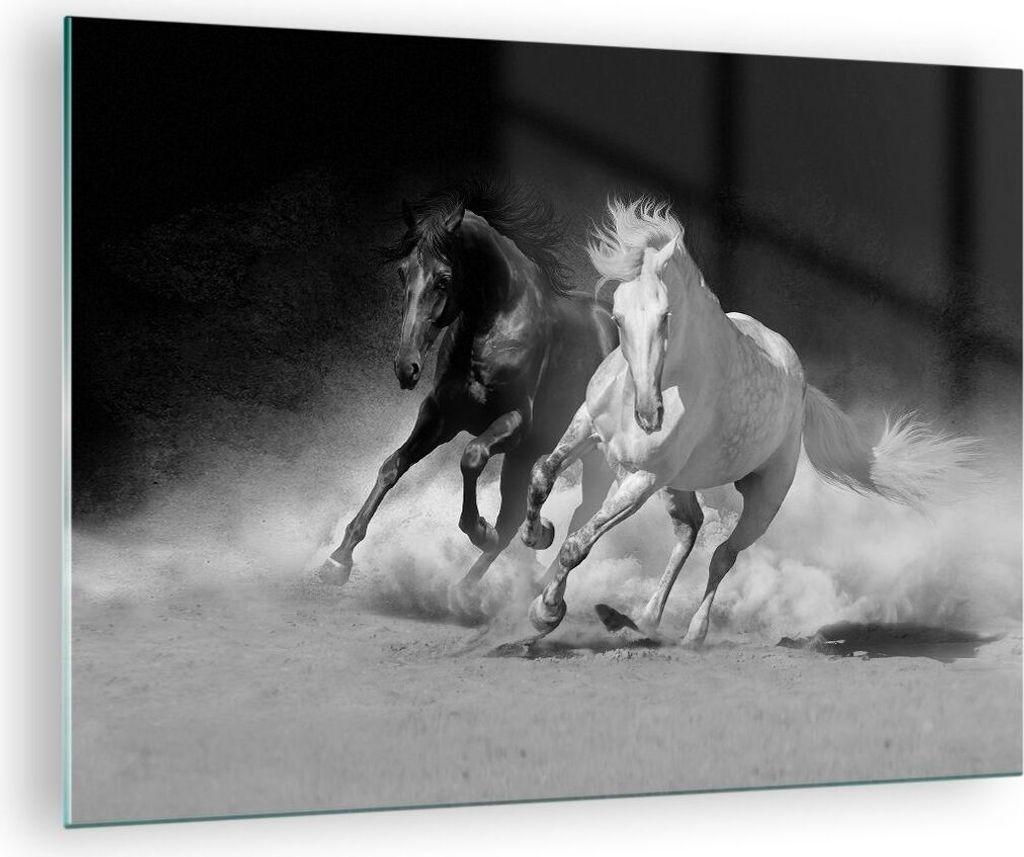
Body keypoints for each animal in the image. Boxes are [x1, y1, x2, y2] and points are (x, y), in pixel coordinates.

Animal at [319, 181, 617, 593]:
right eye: (402, 273)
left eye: (444, 279)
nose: (406, 368)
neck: (495, 323)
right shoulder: (440, 416)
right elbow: (392, 466)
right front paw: (338, 558)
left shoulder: (515, 422)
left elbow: (471, 457)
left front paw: (479, 529)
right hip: (525, 455)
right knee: (516, 516)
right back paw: (472, 587)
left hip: (590, 455)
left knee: (581, 512)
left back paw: (529, 579)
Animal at [518, 197, 981, 648]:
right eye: (618, 317)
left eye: (666, 316)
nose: (649, 415)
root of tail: (801, 387)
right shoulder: (587, 427)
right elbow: (542, 474)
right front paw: (536, 534)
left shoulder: (642, 478)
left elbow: (578, 544)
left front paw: (546, 612)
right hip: (678, 483)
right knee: (689, 530)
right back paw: (641, 619)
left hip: (763, 496)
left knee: (723, 554)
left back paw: (690, 633)